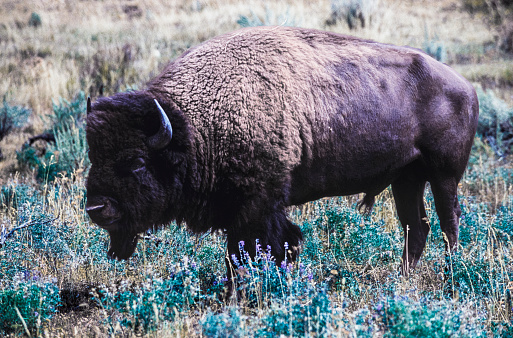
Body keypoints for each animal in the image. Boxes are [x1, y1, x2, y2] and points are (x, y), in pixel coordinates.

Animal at [85, 26, 480, 278]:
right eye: (93, 156)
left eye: (137, 162)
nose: (96, 208)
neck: (196, 124)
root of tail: (466, 85)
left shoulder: (258, 208)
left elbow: (256, 249)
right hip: (406, 179)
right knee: (417, 226)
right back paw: (403, 279)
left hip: (444, 175)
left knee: (449, 222)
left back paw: (451, 272)